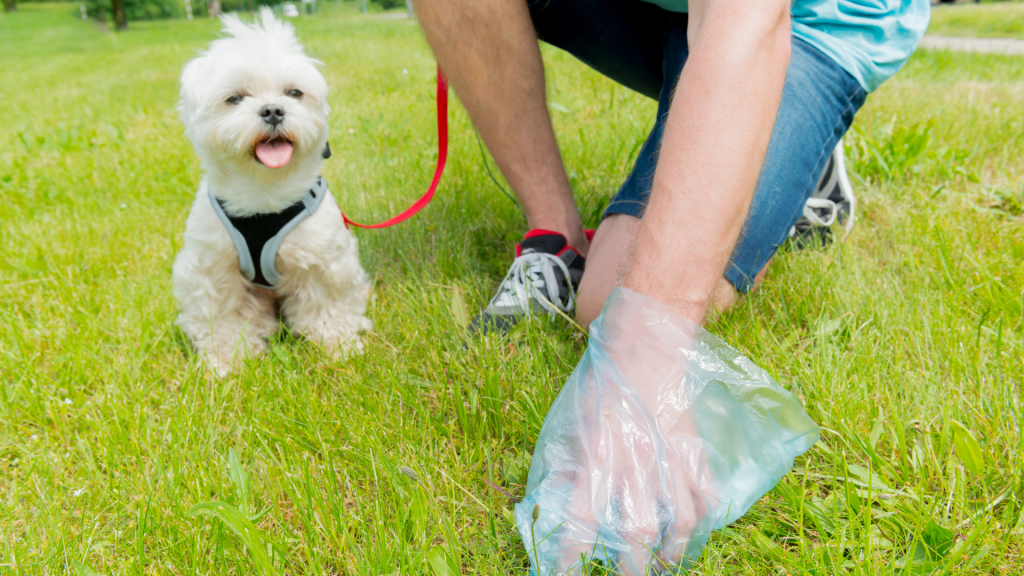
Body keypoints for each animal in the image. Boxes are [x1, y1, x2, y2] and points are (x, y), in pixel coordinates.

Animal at [173, 10, 372, 377]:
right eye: (235, 98)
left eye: (294, 93)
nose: (273, 110)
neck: (263, 193)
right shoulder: (211, 270)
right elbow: (222, 319)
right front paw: (226, 362)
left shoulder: (324, 260)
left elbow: (329, 308)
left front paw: (340, 347)